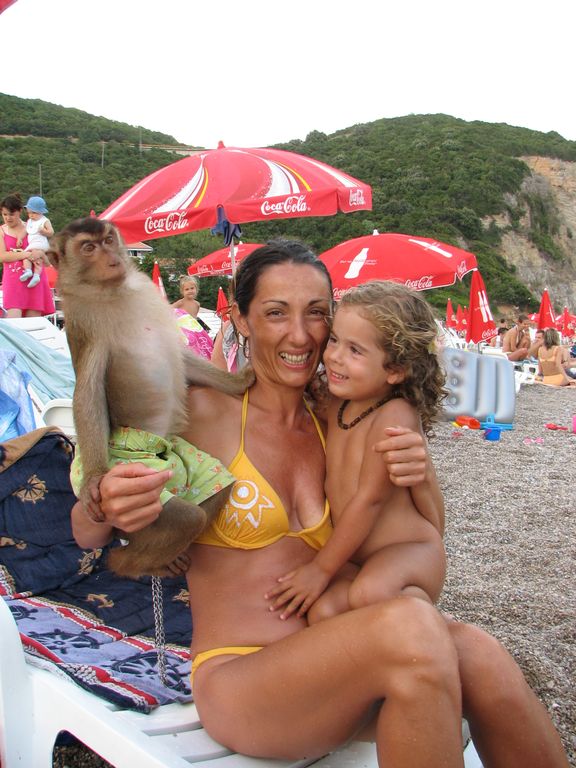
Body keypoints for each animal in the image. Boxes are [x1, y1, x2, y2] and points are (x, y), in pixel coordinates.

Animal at [47, 217, 254, 579]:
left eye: (108, 240)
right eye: (88, 247)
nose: (111, 259)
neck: (114, 289)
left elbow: (182, 359)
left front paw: (237, 383)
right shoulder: (85, 322)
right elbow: (88, 391)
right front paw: (93, 478)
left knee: (214, 491)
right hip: (136, 476)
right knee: (186, 518)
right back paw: (132, 564)